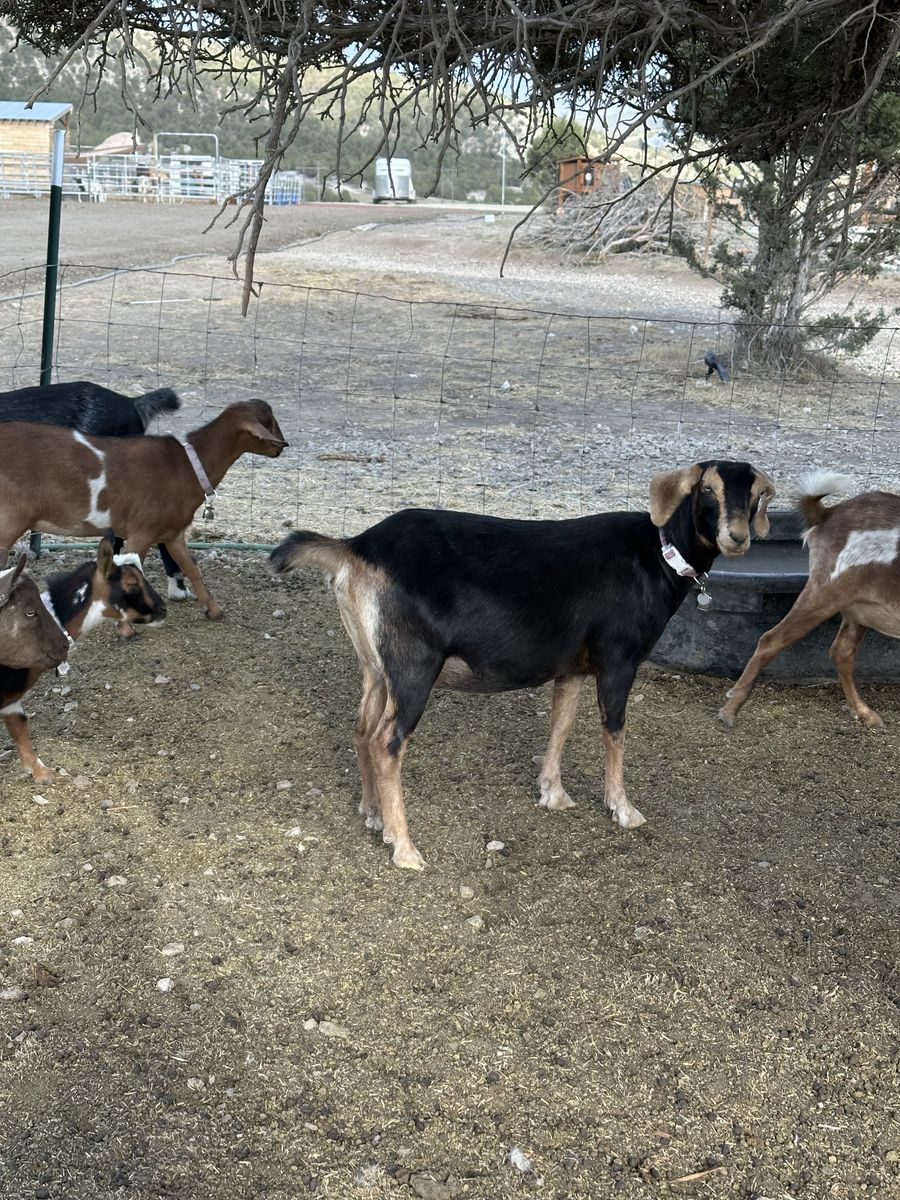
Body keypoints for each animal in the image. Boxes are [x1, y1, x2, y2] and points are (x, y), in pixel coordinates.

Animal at [270, 460, 776, 869]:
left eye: (753, 493)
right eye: (707, 489)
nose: (737, 537)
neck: (656, 555)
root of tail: (356, 547)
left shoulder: (572, 666)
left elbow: (561, 724)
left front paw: (554, 793)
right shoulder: (618, 659)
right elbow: (614, 728)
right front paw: (623, 809)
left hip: (376, 666)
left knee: (361, 728)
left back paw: (373, 815)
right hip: (413, 665)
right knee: (386, 741)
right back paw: (405, 847)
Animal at [719, 472, 900, 730]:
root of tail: (828, 514)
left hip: (858, 608)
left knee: (842, 652)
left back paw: (863, 712)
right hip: (824, 591)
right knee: (771, 640)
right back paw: (730, 710)